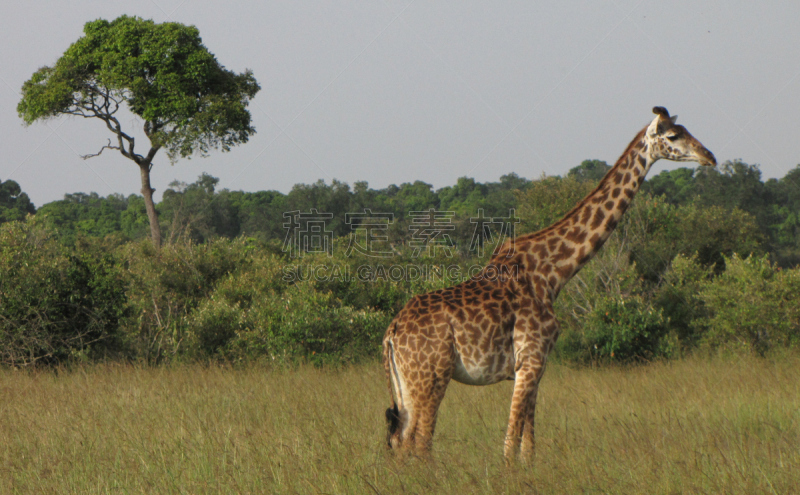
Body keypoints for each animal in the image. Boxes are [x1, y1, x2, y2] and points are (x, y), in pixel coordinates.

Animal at [384, 106, 716, 460]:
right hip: (431, 376)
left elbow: (528, 446)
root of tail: (391, 333)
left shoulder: (538, 365)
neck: (553, 273)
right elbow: (510, 445)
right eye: (674, 136)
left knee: (400, 442)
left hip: (407, 384)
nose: (709, 156)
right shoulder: (530, 359)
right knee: (419, 443)